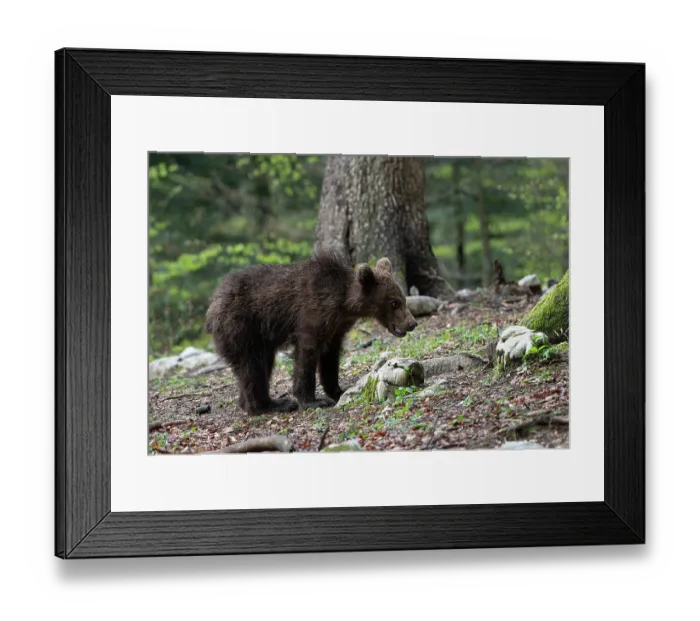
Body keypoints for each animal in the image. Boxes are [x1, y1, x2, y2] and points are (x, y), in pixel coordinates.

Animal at [205, 252, 417, 415]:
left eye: (402, 298)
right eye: (394, 302)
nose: (412, 323)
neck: (344, 304)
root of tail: (212, 305)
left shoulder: (337, 328)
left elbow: (330, 359)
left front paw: (338, 390)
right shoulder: (312, 315)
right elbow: (306, 356)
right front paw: (312, 400)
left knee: (259, 365)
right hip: (242, 328)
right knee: (252, 366)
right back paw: (271, 405)